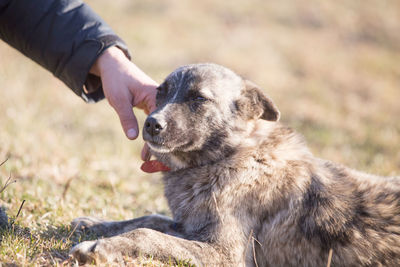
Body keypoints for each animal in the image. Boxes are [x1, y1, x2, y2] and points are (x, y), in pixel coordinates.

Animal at [70, 63, 400, 266]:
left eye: (198, 98)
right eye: (160, 93)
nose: (151, 124)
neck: (225, 158)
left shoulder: (224, 253)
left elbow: (148, 234)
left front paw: (99, 247)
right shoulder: (190, 225)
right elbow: (149, 219)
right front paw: (96, 224)